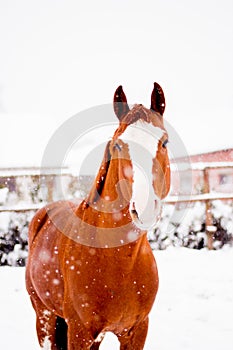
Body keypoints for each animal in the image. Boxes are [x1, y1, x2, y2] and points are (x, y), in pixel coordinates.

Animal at [26, 83, 171, 348]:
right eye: (117, 145)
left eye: (164, 142)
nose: (144, 207)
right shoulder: (79, 332)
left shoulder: (137, 331)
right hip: (44, 318)